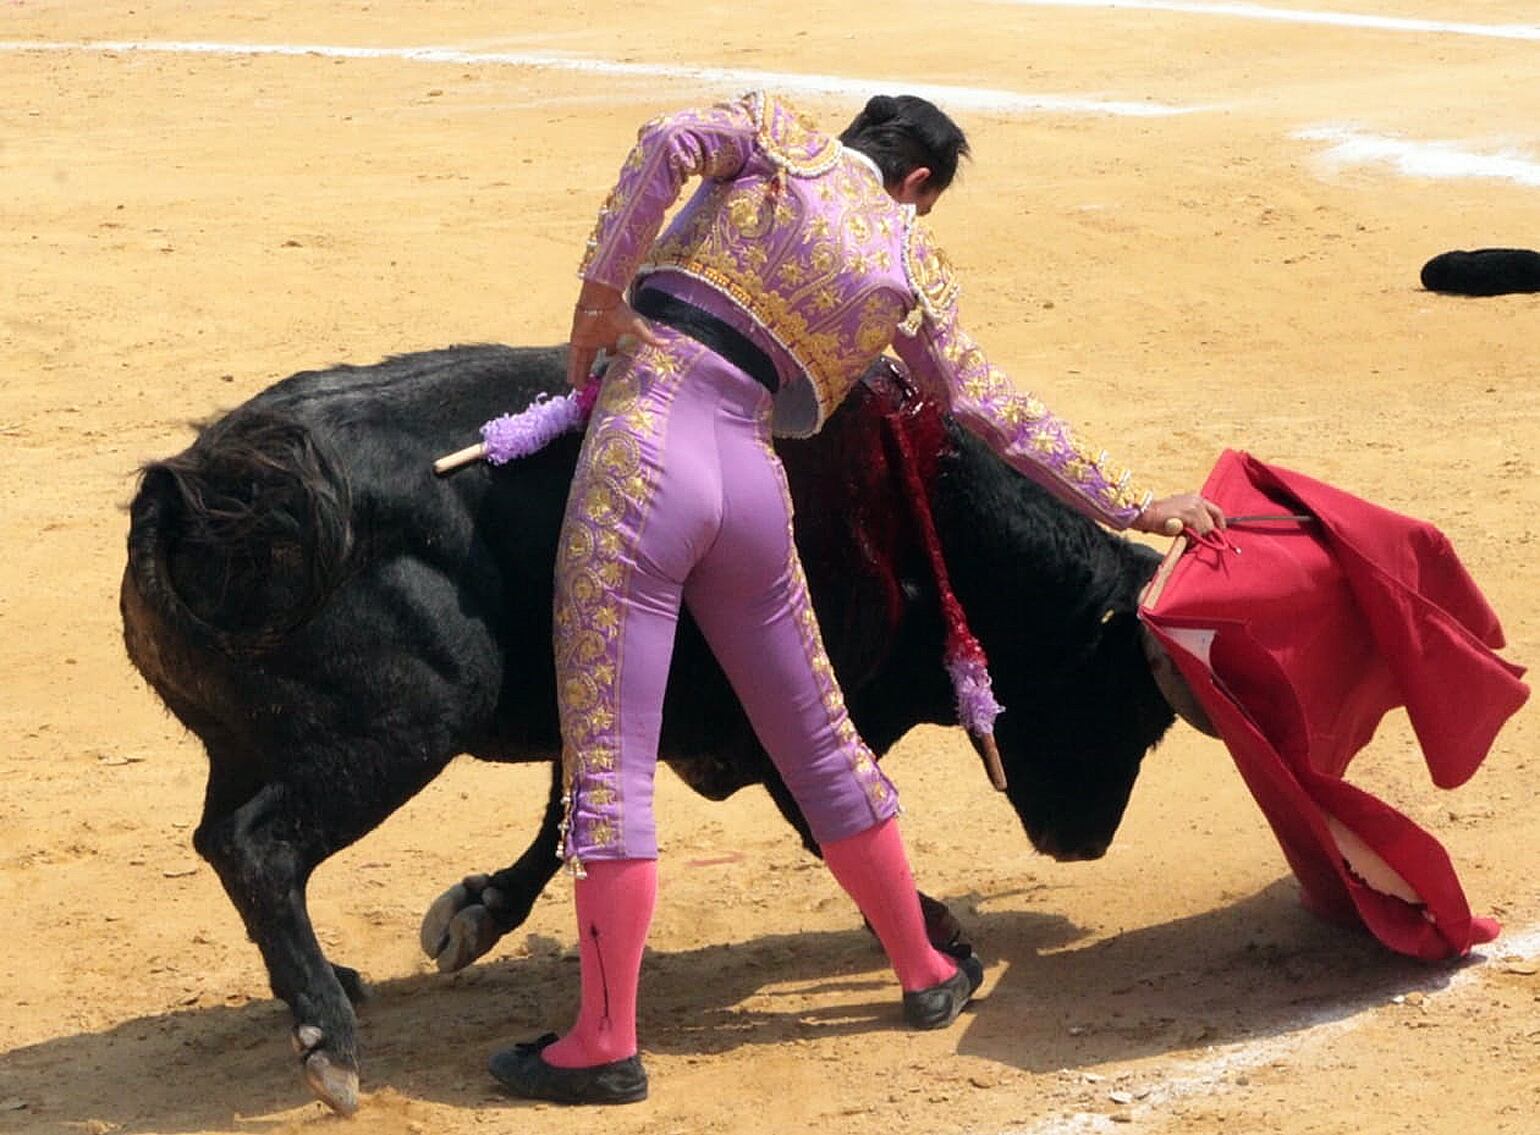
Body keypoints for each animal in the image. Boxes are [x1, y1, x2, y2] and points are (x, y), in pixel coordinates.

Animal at [123, 343, 1201, 1108]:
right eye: (1121, 703)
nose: (1084, 842)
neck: (917, 510)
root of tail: (200, 490)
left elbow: (568, 812)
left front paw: (476, 910)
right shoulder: (788, 705)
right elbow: (827, 817)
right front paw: (945, 947)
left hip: (253, 737)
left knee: (222, 835)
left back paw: (332, 989)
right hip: (411, 717)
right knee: (259, 845)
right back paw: (330, 1043)